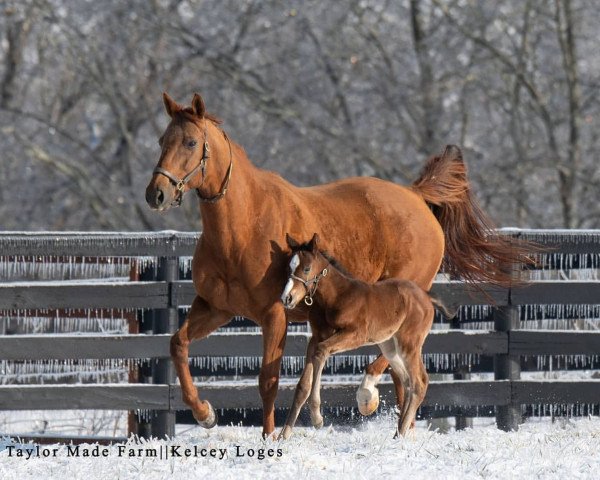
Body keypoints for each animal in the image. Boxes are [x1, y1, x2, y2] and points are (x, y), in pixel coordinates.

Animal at [278, 234, 438, 440]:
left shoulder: (355, 334)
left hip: (408, 343)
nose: (286, 298)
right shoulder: (316, 337)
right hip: (390, 346)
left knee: (419, 382)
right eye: (289, 268)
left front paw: (317, 418)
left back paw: (401, 432)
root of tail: (426, 298)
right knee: (407, 380)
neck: (336, 297)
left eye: (306, 268)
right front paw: (283, 435)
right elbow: (302, 385)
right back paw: (397, 433)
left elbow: (322, 352)